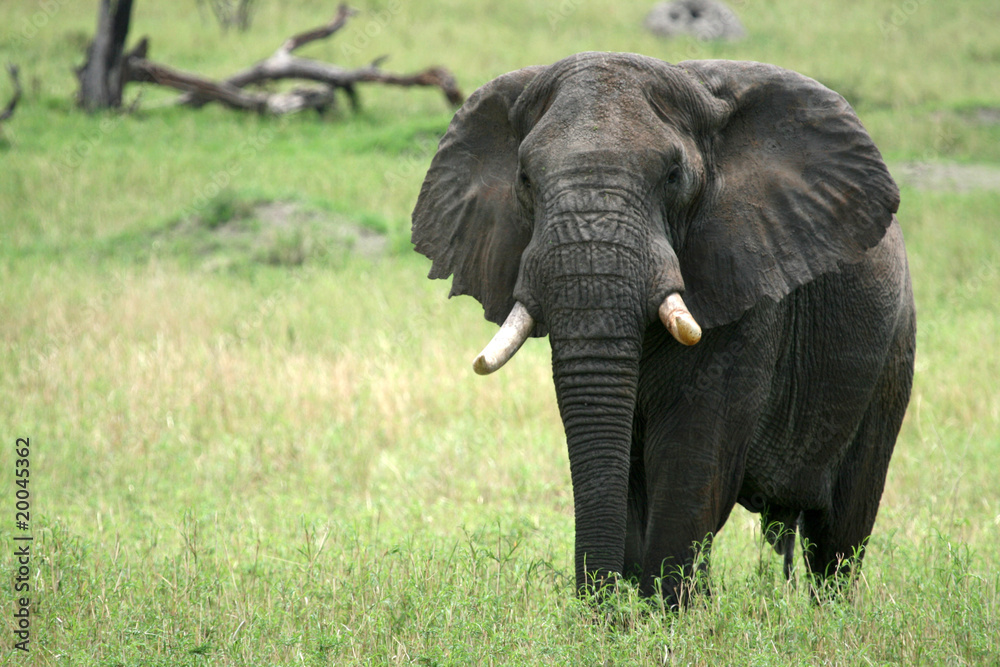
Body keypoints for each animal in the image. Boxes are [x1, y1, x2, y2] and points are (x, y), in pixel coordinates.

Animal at [411, 52, 915, 606]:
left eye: (674, 176)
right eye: (524, 178)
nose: (597, 609)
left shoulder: (747, 291)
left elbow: (689, 464)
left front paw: (666, 616)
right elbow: (628, 467)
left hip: (891, 355)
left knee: (839, 539)